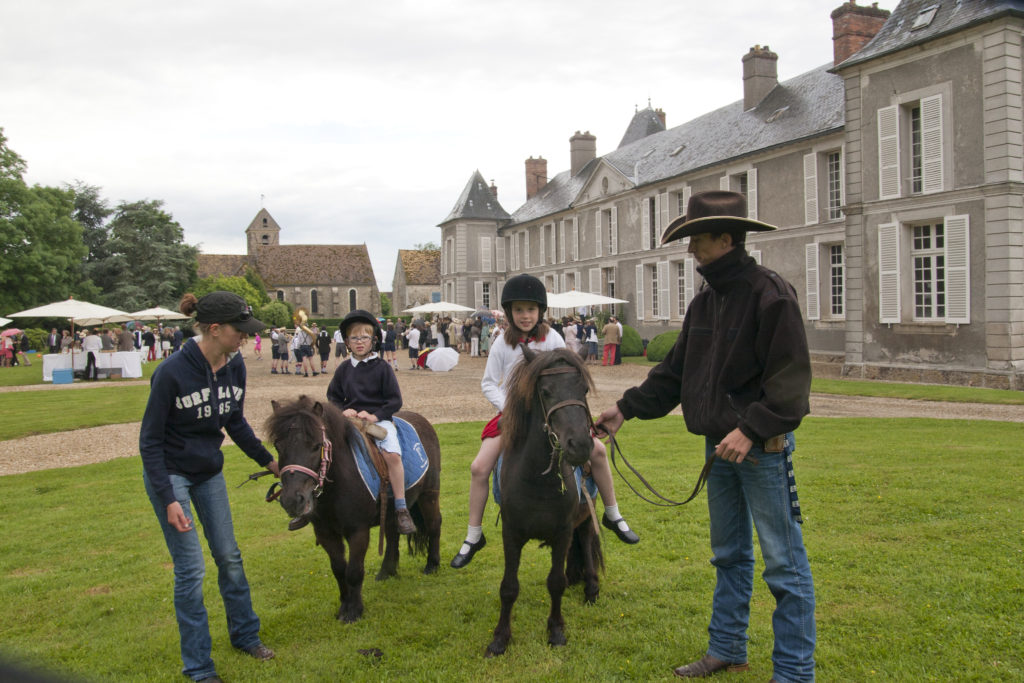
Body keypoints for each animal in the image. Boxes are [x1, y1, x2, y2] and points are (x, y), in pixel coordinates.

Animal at [264, 395, 440, 626]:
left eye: (317, 446)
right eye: (278, 445)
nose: (292, 500)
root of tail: (423, 421)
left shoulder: (358, 531)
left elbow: (354, 570)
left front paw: (354, 611)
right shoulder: (326, 533)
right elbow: (339, 569)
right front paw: (344, 606)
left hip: (429, 495)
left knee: (434, 525)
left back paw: (432, 565)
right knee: (393, 536)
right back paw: (387, 572)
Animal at [485, 348, 598, 655]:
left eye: (584, 389)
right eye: (546, 391)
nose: (580, 445)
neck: (538, 480)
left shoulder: (563, 532)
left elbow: (555, 582)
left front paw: (556, 631)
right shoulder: (511, 534)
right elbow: (508, 587)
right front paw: (500, 638)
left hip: (585, 520)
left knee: (588, 543)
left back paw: (591, 588)